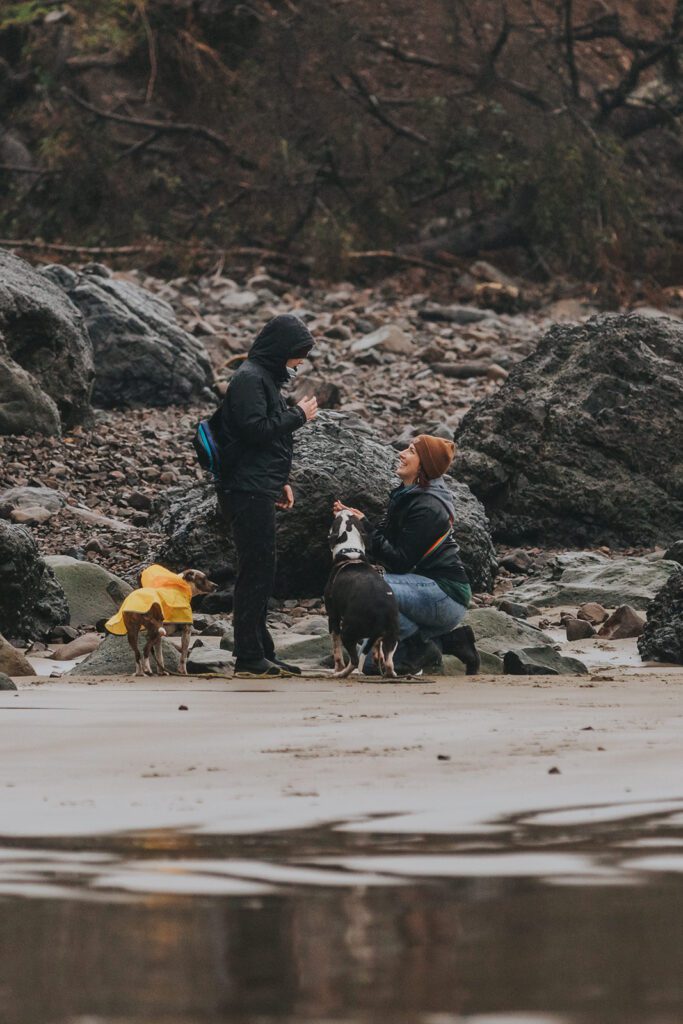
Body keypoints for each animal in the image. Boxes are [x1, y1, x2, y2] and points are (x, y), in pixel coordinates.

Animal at [325, 512, 401, 679]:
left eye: (334, 522)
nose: (342, 510)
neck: (350, 553)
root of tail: (381, 614)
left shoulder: (333, 616)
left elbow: (336, 647)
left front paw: (337, 669)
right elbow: (377, 648)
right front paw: (377, 658)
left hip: (348, 631)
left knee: (353, 660)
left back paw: (341, 674)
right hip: (393, 636)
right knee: (389, 663)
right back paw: (389, 673)